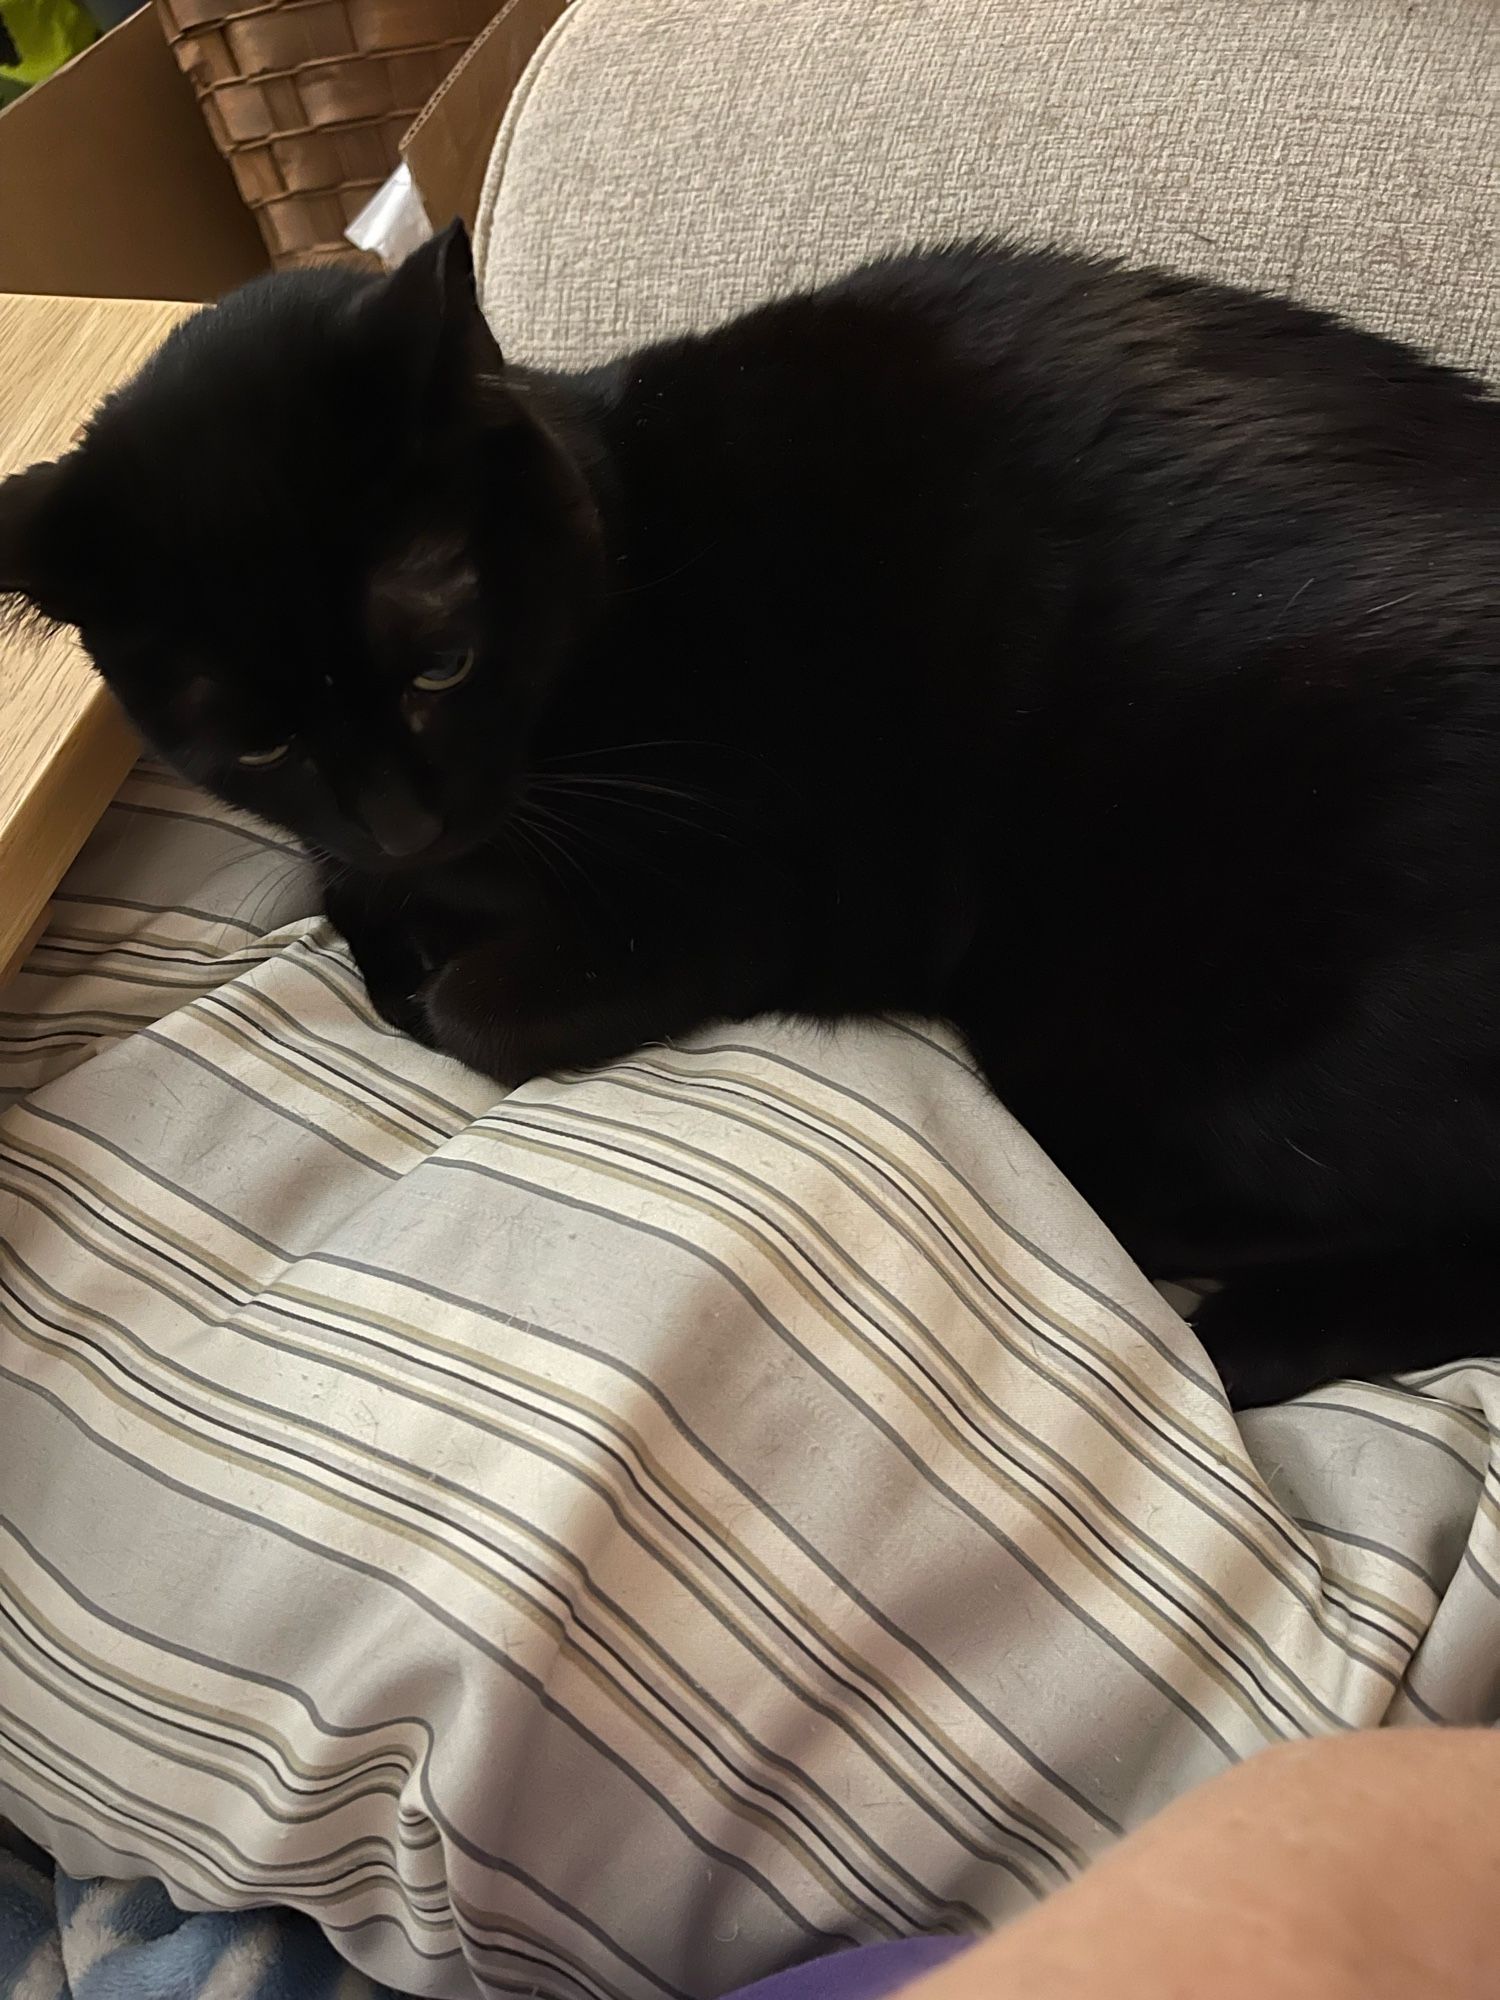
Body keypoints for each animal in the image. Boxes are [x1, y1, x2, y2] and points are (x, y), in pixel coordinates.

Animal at [2, 223, 1500, 1408]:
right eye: (258, 738)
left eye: (440, 664)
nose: (409, 822)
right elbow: (344, 897)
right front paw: (387, 917)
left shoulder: (736, 892)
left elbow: (469, 1010)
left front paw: (432, 977)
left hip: (1109, 1048)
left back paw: (1246, 1343)